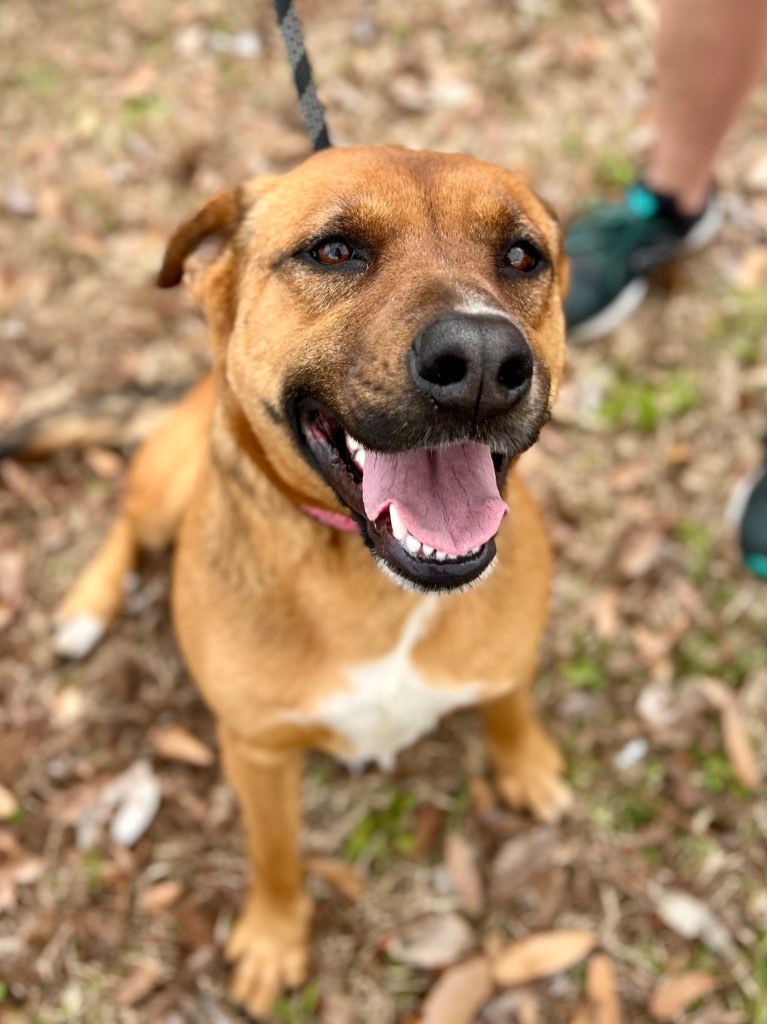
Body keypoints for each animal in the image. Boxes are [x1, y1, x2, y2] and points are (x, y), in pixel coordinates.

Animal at [55, 146, 569, 1015]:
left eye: (521, 256)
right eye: (333, 251)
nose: (479, 363)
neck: (372, 581)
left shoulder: (505, 657)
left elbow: (507, 700)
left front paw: (524, 761)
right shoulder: (256, 753)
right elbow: (274, 855)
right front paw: (272, 937)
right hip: (166, 482)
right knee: (128, 522)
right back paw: (85, 609)